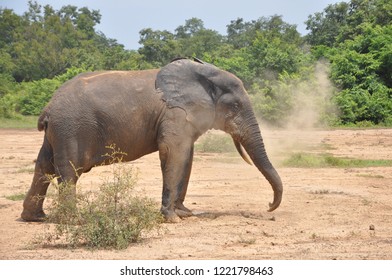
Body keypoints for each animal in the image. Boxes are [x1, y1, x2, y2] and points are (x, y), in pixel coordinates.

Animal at [20, 57, 282, 223]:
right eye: (235, 106)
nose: (268, 206)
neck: (205, 74)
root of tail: (48, 107)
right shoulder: (175, 113)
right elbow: (174, 153)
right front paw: (173, 219)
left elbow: (187, 156)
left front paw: (185, 213)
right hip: (70, 129)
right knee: (68, 172)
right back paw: (74, 220)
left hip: (58, 131)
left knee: (44, 166)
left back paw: (35, 218)